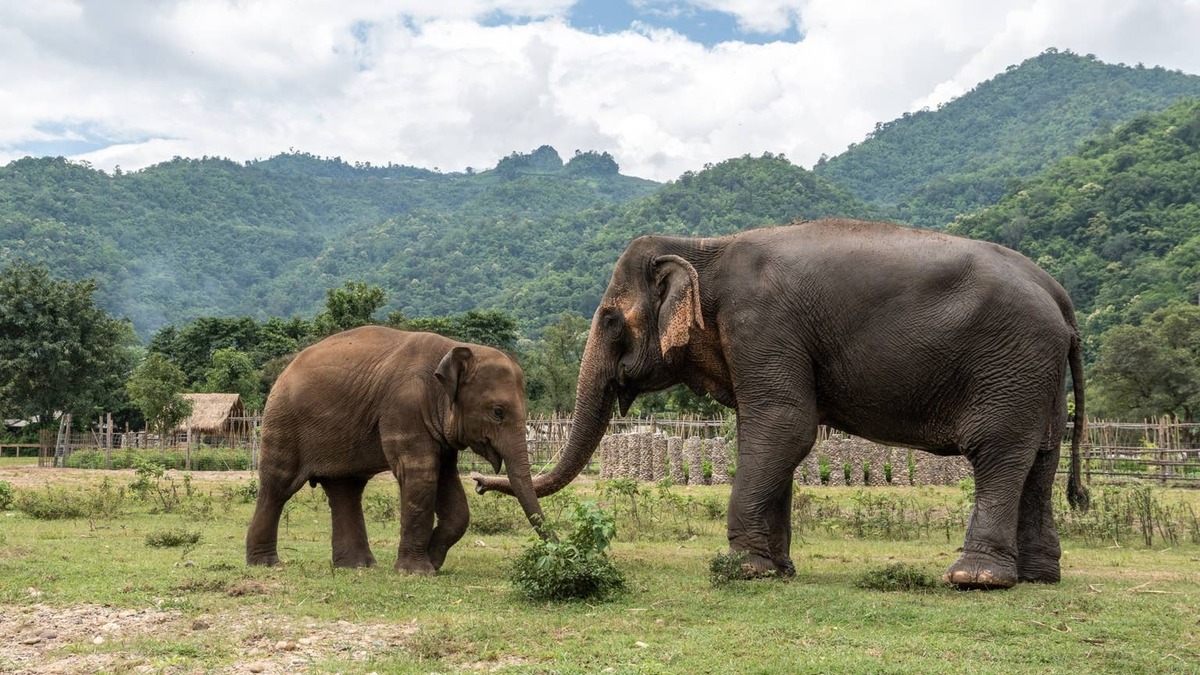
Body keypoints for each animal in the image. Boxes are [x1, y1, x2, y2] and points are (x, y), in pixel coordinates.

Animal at [246, 326, 547, 574]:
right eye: (498, 412)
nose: (552, 546)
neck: (452, 348)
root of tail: (284, 371)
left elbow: (447, 480)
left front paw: (433, 560)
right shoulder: (405, 407)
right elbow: (421, 475)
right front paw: (417, 572)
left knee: (346, 489)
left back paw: (358, 567)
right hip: (283, 421)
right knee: (278, 486)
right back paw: (266, 564)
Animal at [476, 218, 1089, 589]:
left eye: (607, 319)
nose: (481, 482)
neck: (704, 245)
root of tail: (1061, 299)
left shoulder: (762, 323)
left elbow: (784, 427)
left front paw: (741, 570)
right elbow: (777, 434)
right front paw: (778, 569)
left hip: (1011, 363)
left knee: (998, 453)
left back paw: (974, 579)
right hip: (1035, 376)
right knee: (1041, 460)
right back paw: (1038, 578)